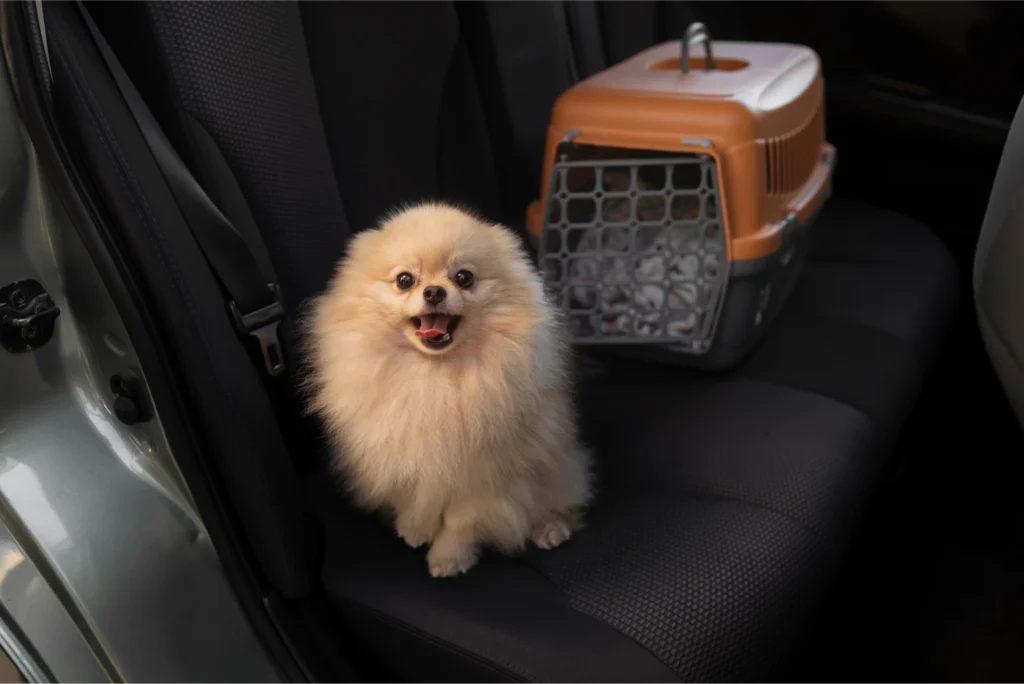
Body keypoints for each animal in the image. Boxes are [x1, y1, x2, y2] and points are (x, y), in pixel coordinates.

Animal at [303, 201, 593, 577]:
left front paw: (448, 557)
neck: (434, 377)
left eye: (463, 277)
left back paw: (551, 527)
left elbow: (460, 521)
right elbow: (414, 495)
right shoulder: (401, 450)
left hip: (556, 464)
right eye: (405, 280)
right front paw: (414, 527)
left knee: (565, 492)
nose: (434, 291)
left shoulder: (480, 473)